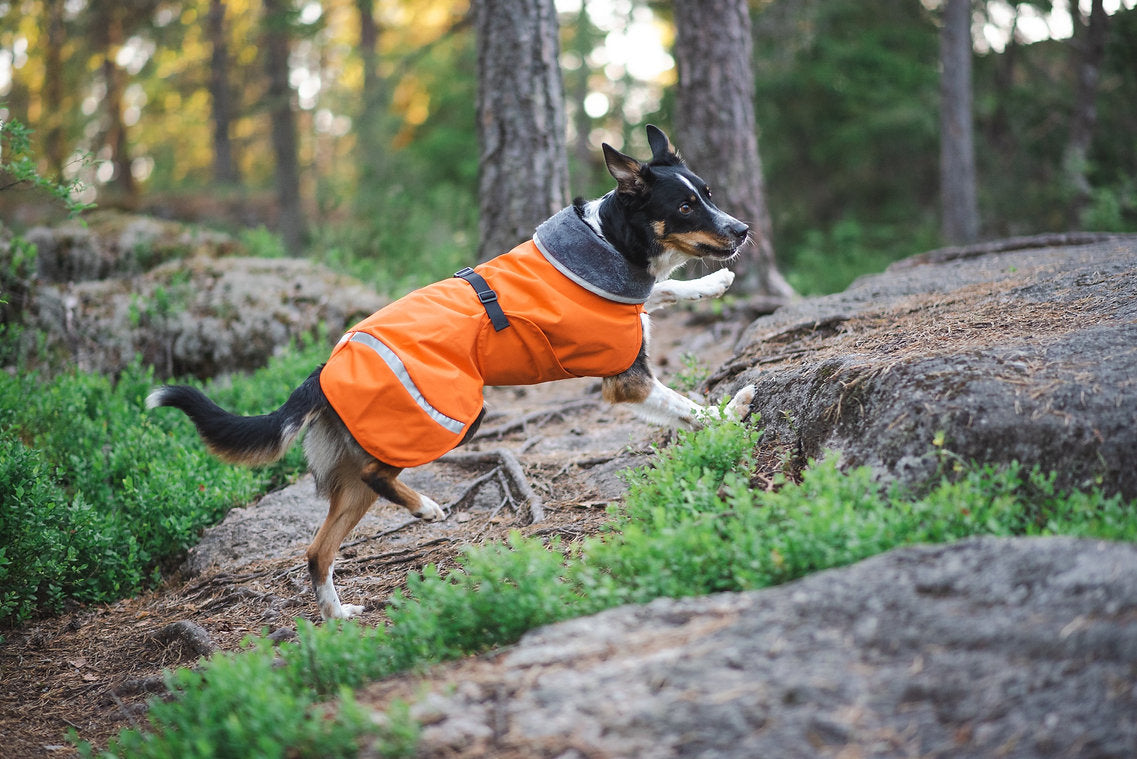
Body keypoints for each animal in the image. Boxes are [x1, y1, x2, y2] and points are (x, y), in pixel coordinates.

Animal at [148, 124, 754, 618]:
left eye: (709, 194)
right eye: (684, 207)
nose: (744, 229)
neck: (609, 243)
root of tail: (322, 371)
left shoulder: (637, 313)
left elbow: (662, 293)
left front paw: (710, 286)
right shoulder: (628, 382)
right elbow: (691, 406)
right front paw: (733, 412)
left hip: (359, 471)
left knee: (318, 549)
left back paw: (337, 617)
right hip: (450, 416)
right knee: (379, 476)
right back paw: (427, 508)